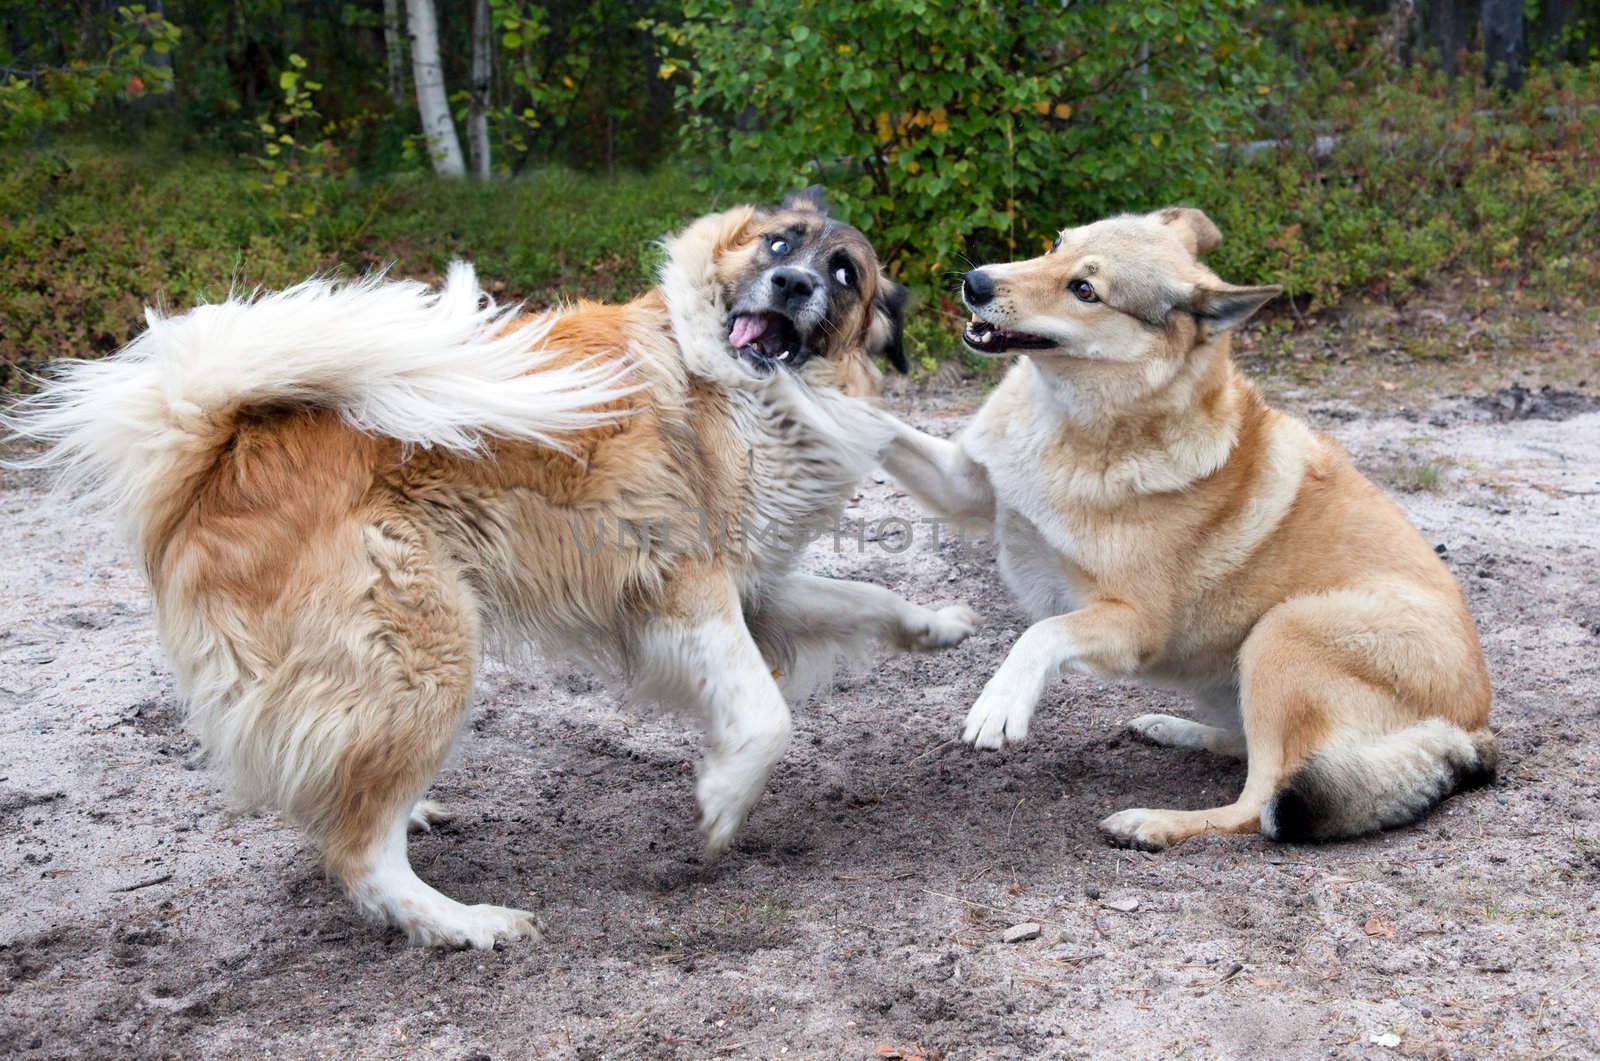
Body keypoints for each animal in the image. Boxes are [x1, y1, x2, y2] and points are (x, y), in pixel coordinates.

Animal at [9, 191, 972, 947]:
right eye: (780, 244)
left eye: (842, 273)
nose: (794, 286)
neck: (741, 383)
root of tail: (216, 446)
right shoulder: (686, 588)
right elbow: (766, 716)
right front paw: (726, 800)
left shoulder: (751, 585)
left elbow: (865, 595)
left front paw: (940, 627)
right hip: (425, 652)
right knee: (357, 852)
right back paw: (463, 922)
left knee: (336, 780)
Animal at [870, 208, 1491, 851]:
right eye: (1056, 244)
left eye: (1085, 290)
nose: (976, 283)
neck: (1070, 423)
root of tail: (1470, 731)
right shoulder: (965, 485)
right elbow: (880, 427)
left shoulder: (1133, 624)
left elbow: (1039, 635)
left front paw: (1000, 703)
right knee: (1244, 749)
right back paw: (1173, 729)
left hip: (1281, 633)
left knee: (1259, 801)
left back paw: (1152, 822)